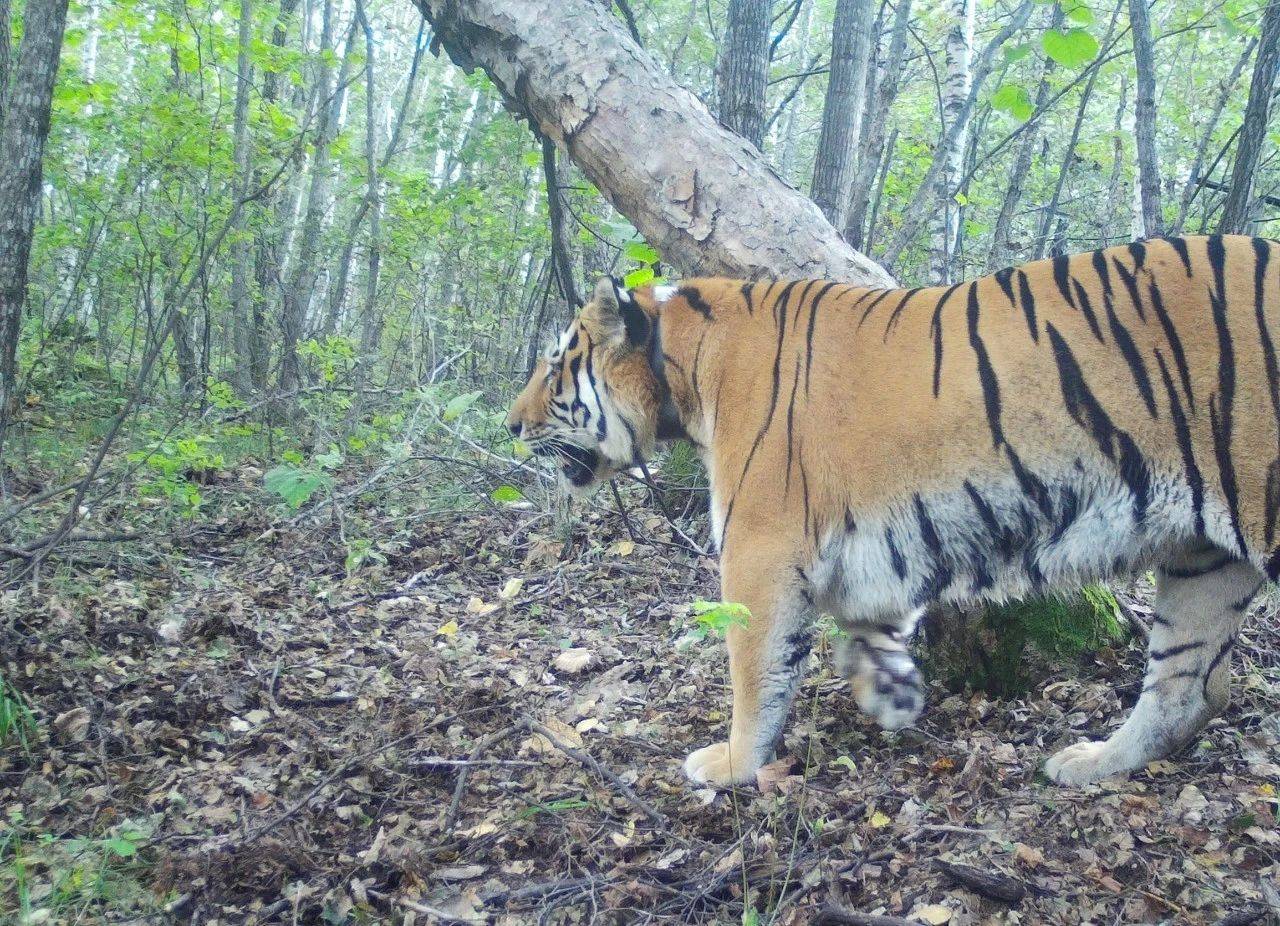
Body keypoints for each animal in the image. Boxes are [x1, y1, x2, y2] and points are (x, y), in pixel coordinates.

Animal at [504, 235, 1280, 783]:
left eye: (554, 366)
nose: (510, 424)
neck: (683, 367)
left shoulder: (759, 545)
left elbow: (755, 666)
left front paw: (733, 765)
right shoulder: (871, 542)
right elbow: (865, 623)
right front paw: (893, 694)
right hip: (1202, 562)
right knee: (1190, 690)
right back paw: (1091, 764)